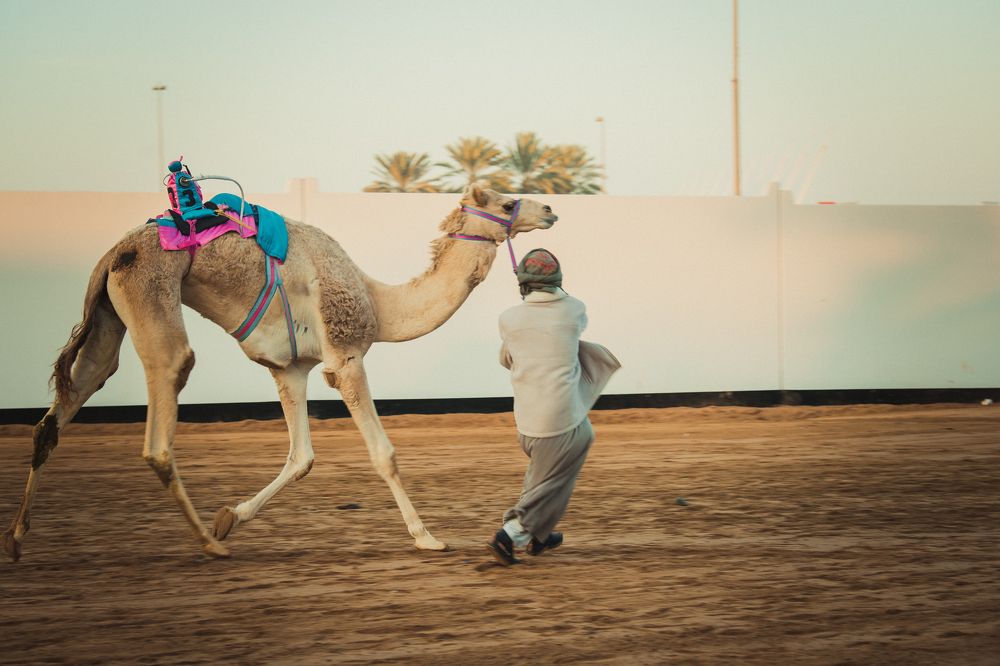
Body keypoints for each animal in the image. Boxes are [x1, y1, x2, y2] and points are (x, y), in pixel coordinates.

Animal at [2, 183, 557, 561]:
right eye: (506, 203)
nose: (549, 209)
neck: (379, 302)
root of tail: (116, 252)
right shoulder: (345, 358)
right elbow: (384, 454)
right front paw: (427, 537)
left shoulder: (290, 369)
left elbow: (302, 458)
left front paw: (231, 517)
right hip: (151, 292)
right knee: (163, 413)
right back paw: (208, 544)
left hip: (109, 314)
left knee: (69, 400)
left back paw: (18, 539)